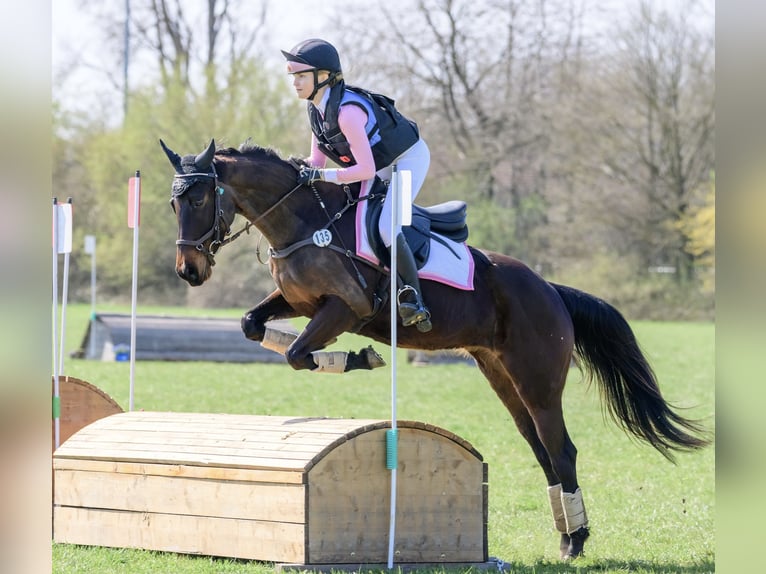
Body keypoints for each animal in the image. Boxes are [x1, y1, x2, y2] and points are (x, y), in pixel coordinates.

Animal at [160, 138, 710, 560]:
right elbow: (254, 326)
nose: (189, 271)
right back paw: (565, 534)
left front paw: (359, 357)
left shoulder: (346, 307)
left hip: (537, 379)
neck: (301, 222)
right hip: (501, 376)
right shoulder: (299, 303)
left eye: (200, 200)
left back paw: (575, 543)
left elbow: (299, 352)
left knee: (562, 449)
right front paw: (342, 356)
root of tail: (550, 289)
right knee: (540, 449)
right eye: (172, 204)